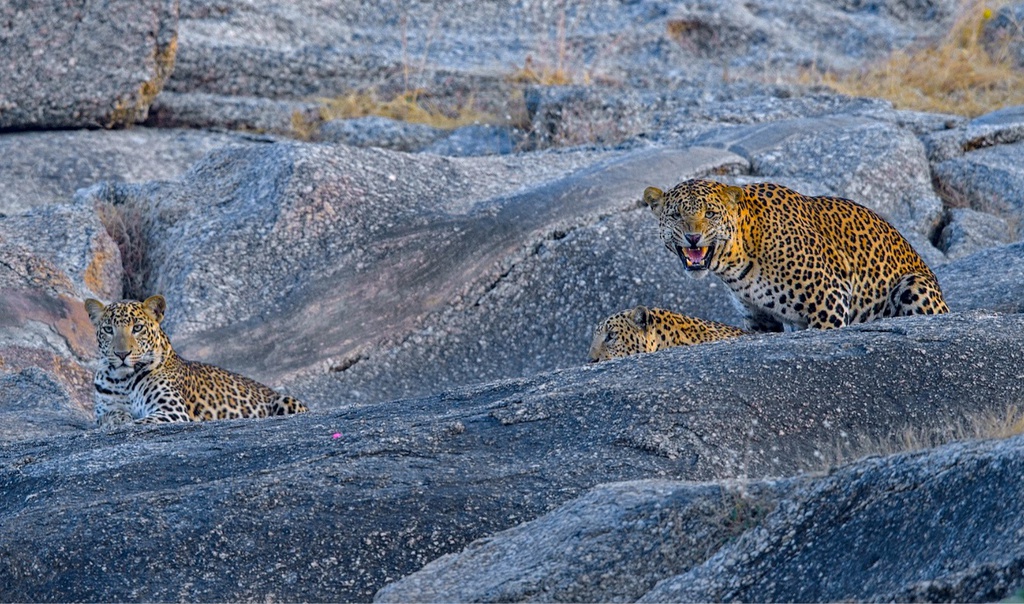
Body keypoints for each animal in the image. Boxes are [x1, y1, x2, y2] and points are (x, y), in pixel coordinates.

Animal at [84, 294, 307, 425]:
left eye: (137, 328)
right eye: (108, 330)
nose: (122, 354)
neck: (123, 380)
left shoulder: (171, 411)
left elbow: (140, 422)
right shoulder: (104, 409)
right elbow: (109, 416)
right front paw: (117, 419)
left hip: (287, 400)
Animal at [643, 180, 946, 331]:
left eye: (710, 213)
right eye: (676, 215)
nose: (693, 237)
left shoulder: (829, 302)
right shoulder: (759, 322)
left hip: (914, 285)